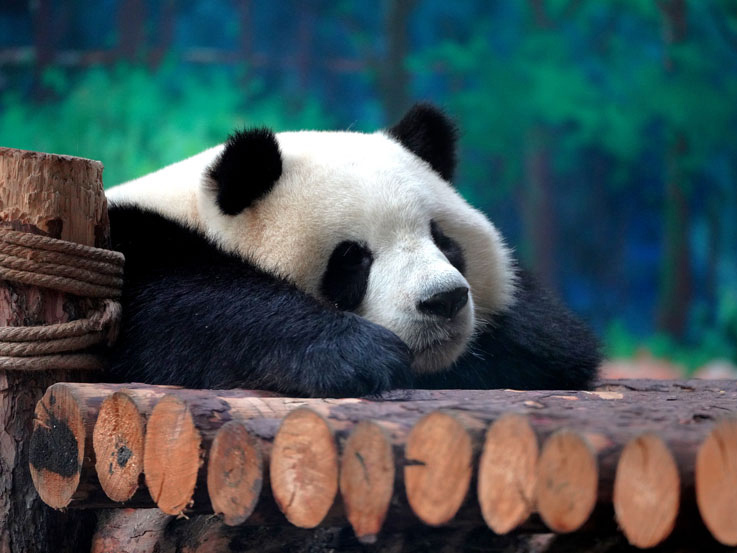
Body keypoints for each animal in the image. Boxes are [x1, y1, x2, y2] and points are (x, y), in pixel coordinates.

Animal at [105, 103, 600, 396]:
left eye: (443, 240)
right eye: (352, 258)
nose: (443, 300)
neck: (189, 210)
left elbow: (549, 343)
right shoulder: (132, 242)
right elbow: (185, 306)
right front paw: (354, 356)